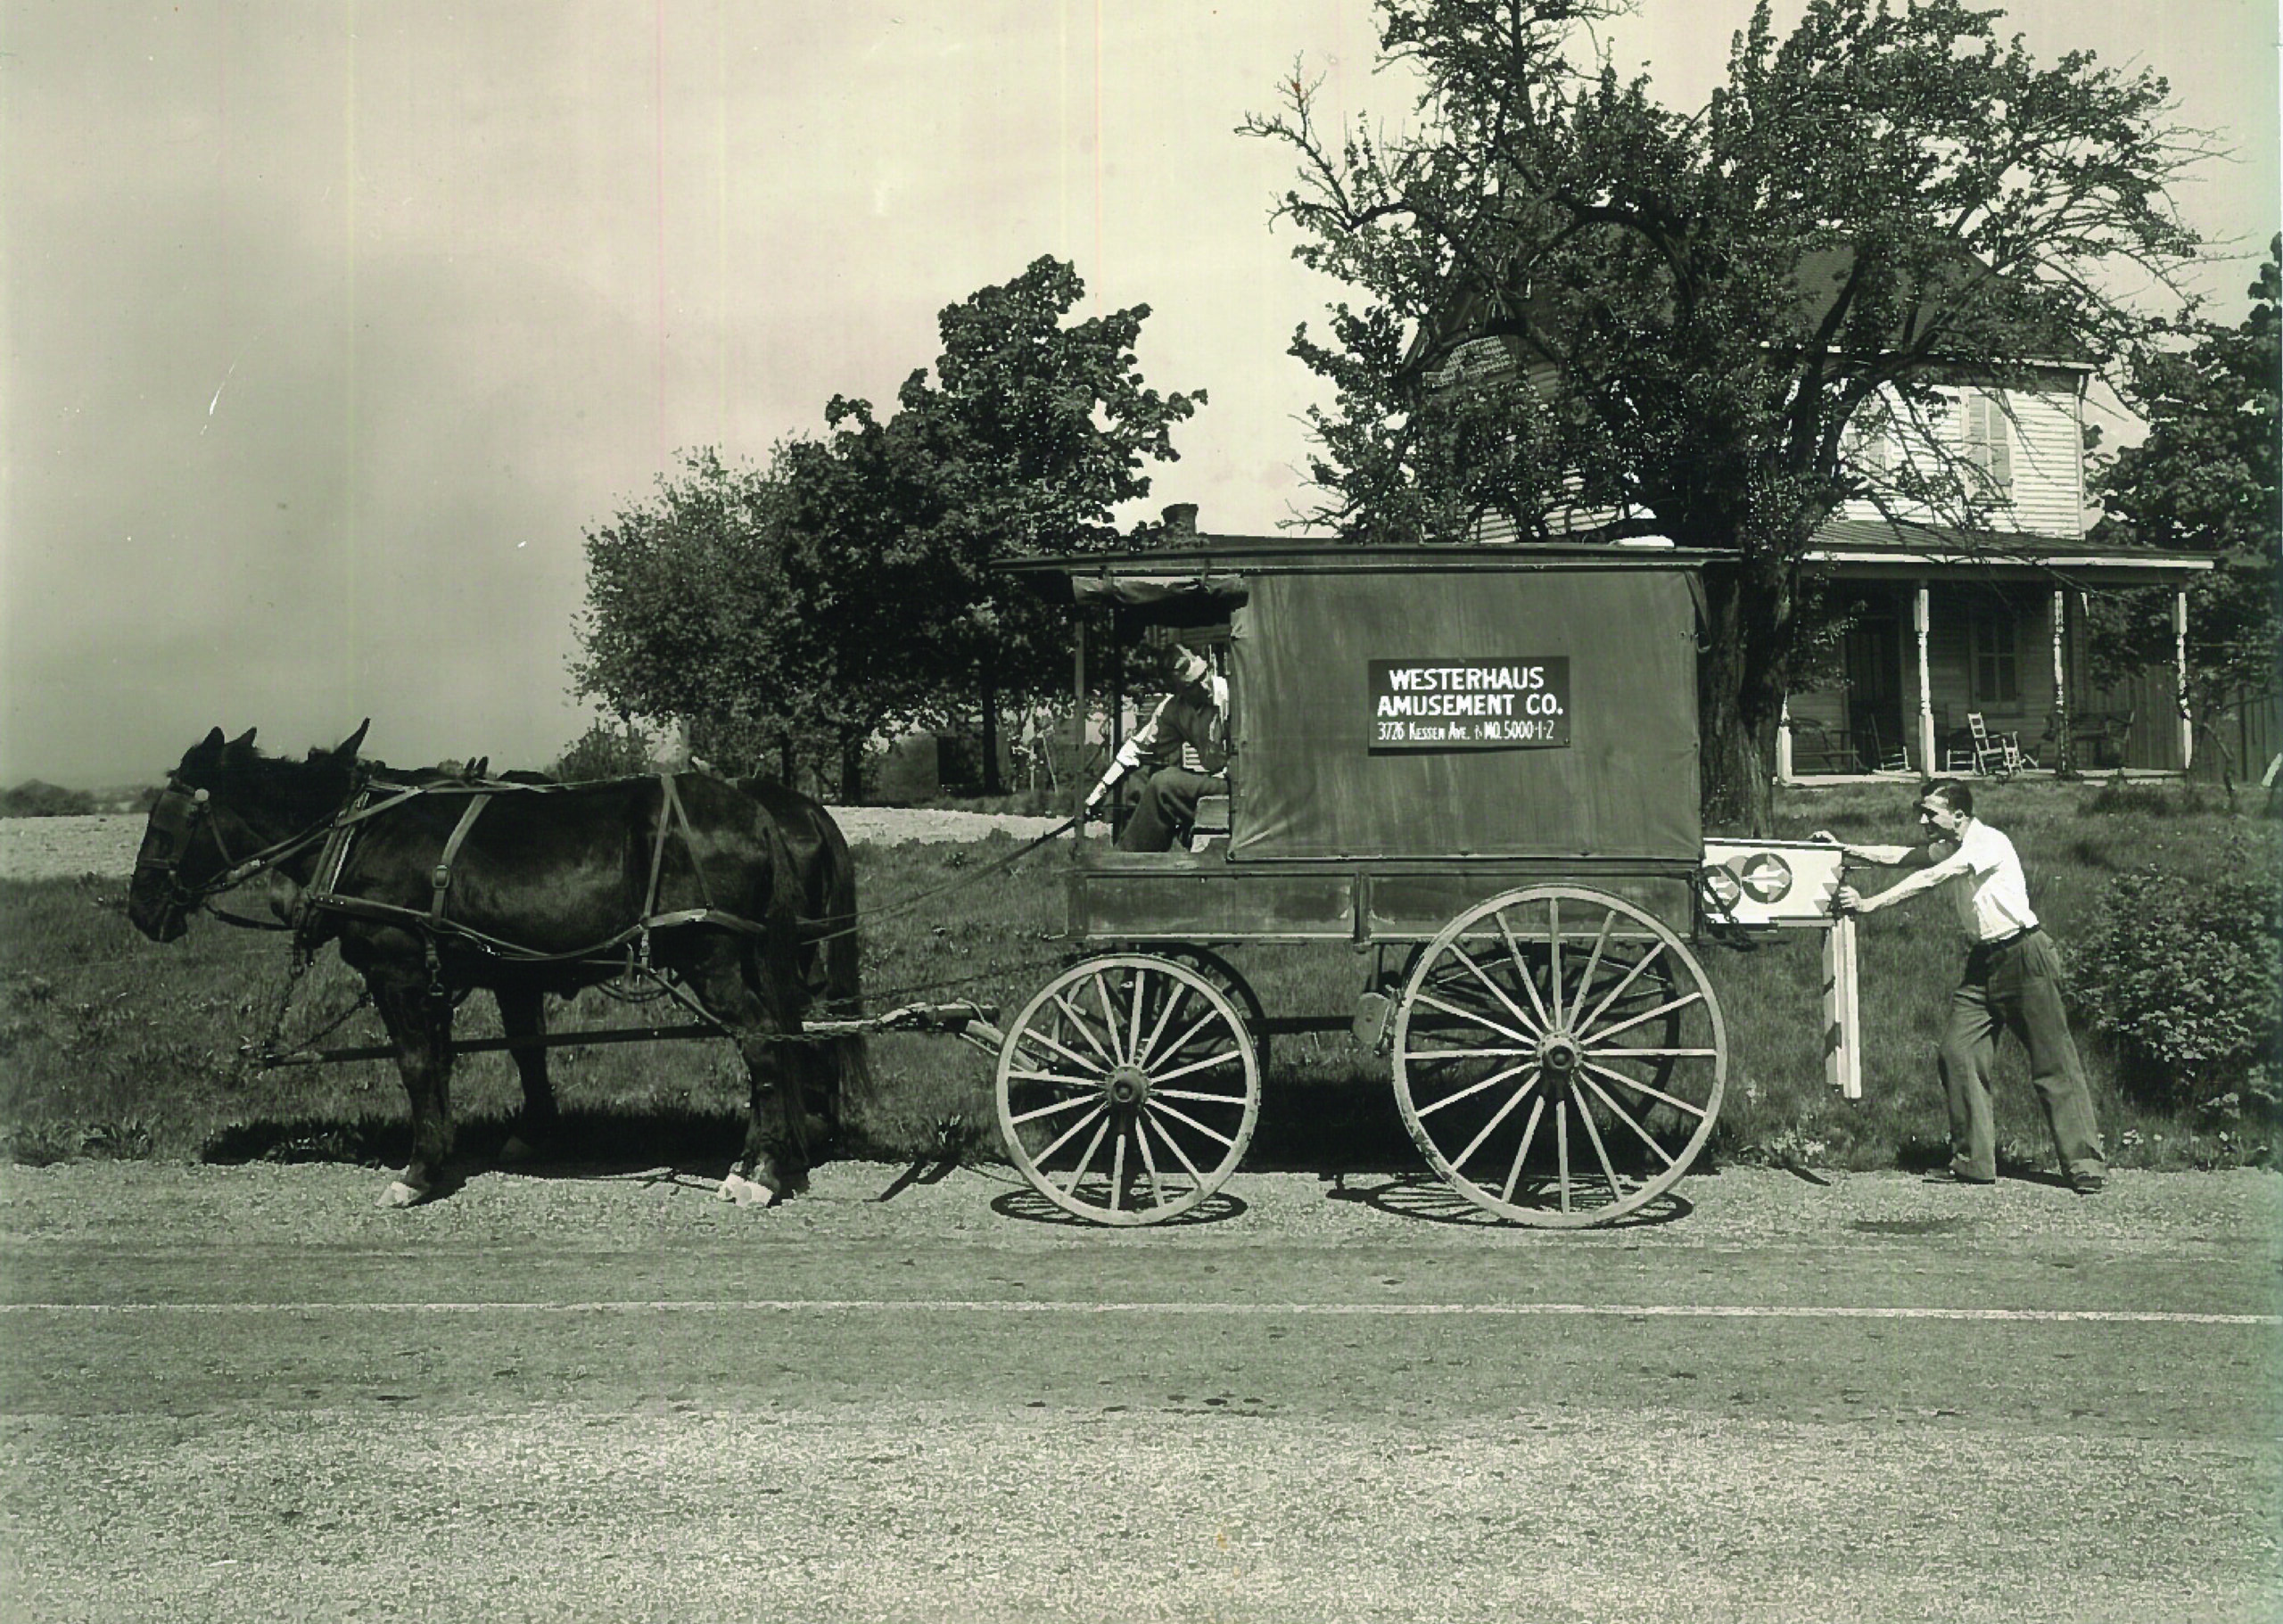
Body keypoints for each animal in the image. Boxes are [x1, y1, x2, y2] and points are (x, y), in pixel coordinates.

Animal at [129, 726, 867, 1206]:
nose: (140, 907)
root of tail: (761, 811)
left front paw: (418, 1171)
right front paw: (464, 1145)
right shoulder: (466, 975)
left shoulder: (400, 971)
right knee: (787, 1042)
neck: (360, 832)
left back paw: (761, 1172)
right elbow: (474, 1058)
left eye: (165, 823)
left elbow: (417, 1064)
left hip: (713, 957)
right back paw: (778, 1150)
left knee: (765, 1042)